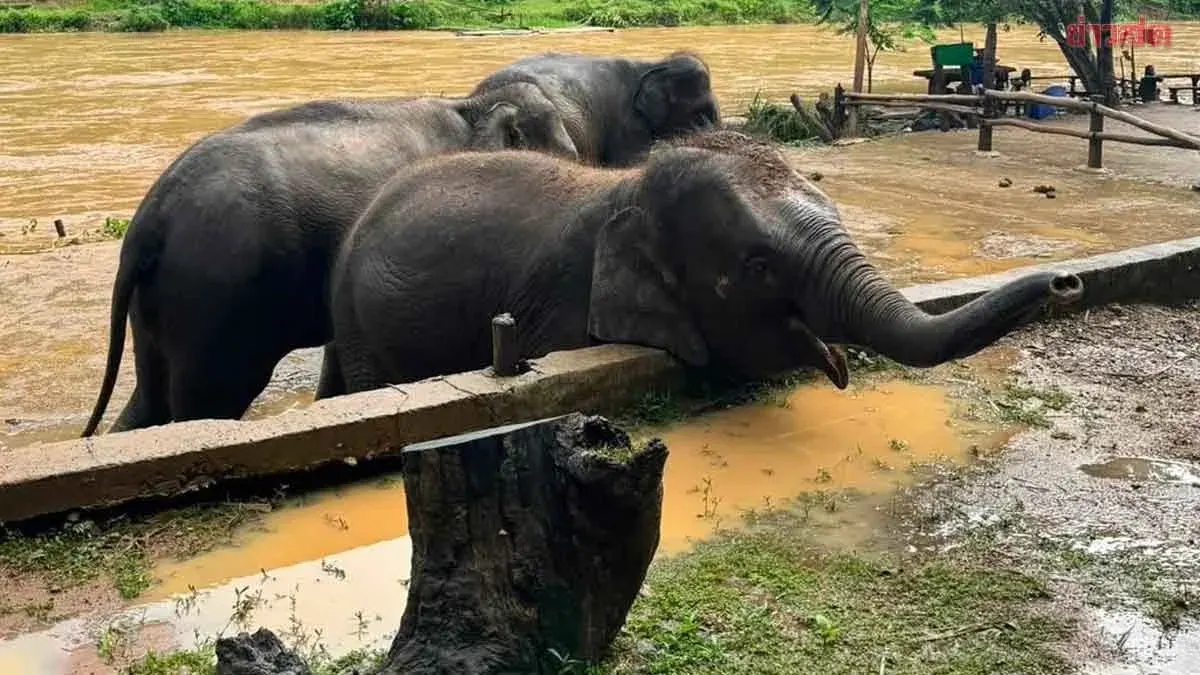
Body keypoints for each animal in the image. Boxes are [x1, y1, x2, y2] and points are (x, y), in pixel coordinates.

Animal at [80, 83, 579, 437]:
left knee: (148, 401)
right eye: (569, 156)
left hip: (161, 302)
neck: (471, 106)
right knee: (208, 400)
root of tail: (149, 220)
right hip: (214, 296)